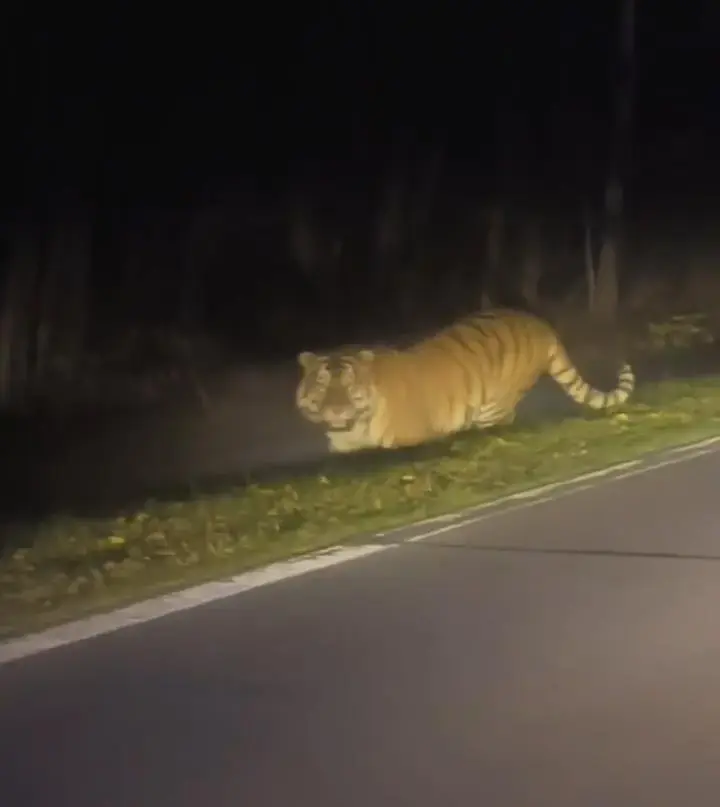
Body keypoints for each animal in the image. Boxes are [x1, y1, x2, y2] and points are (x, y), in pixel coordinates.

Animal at [295, 308, 635, 454]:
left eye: (349, 387)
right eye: (322, 385)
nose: (336, 411)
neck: (353, 428)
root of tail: (538, 322)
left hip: (492, 408)